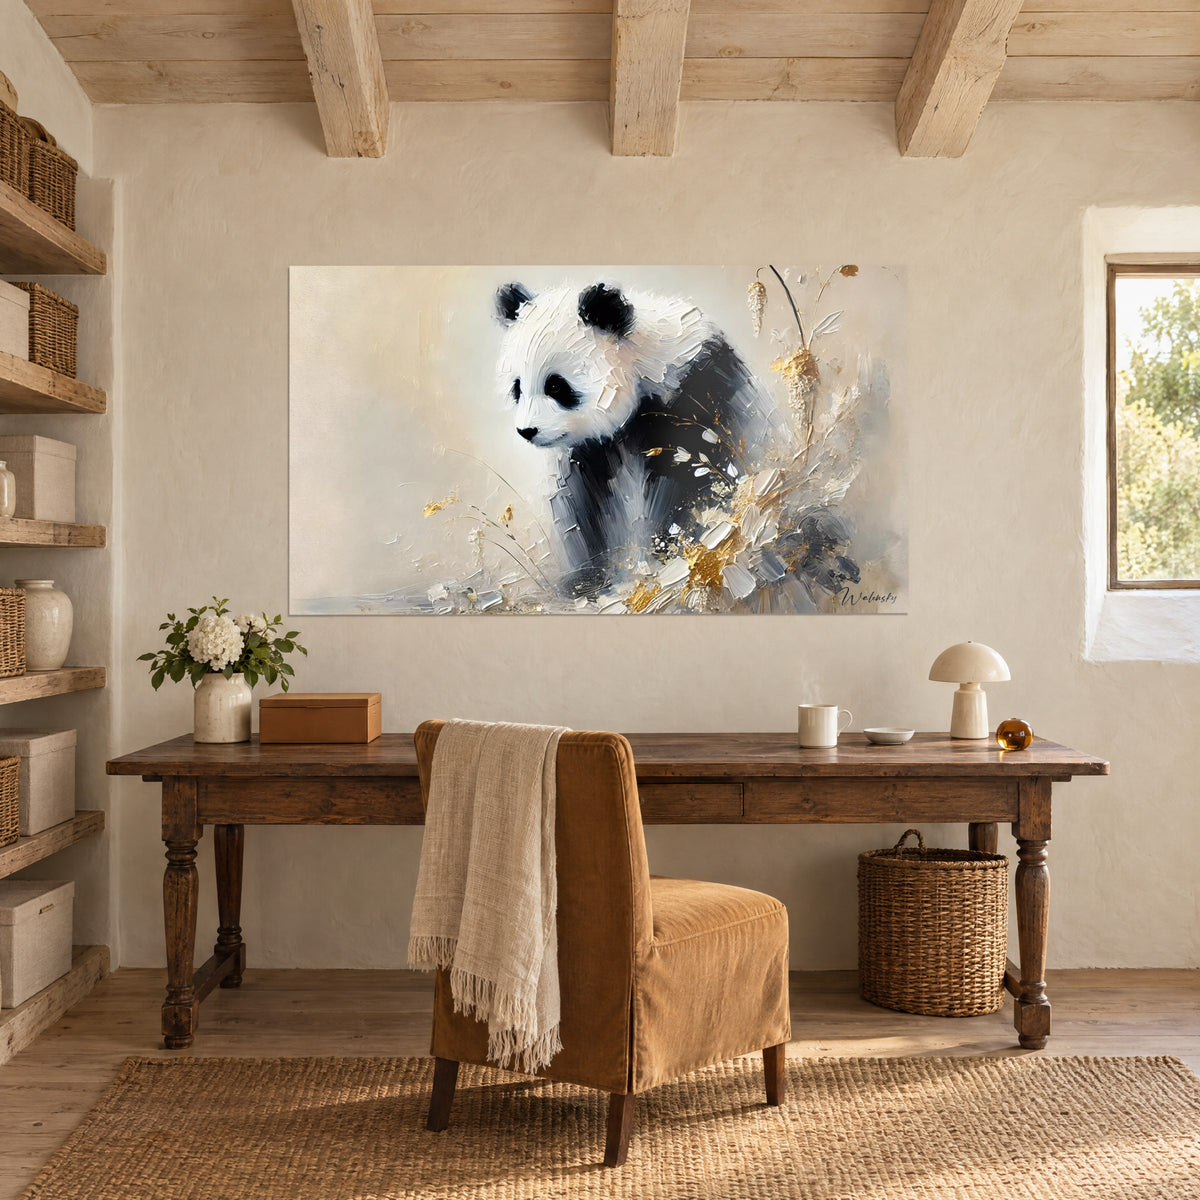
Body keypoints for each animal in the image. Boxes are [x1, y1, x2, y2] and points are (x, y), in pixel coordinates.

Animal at [495, 280, 777, 600]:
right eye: (517, 386)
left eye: (556, 385)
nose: (527, 431)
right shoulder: (592, 445)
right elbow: (582, 500)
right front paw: (584, 579)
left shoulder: (697, 395)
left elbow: (692, 480)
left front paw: (667, 554)